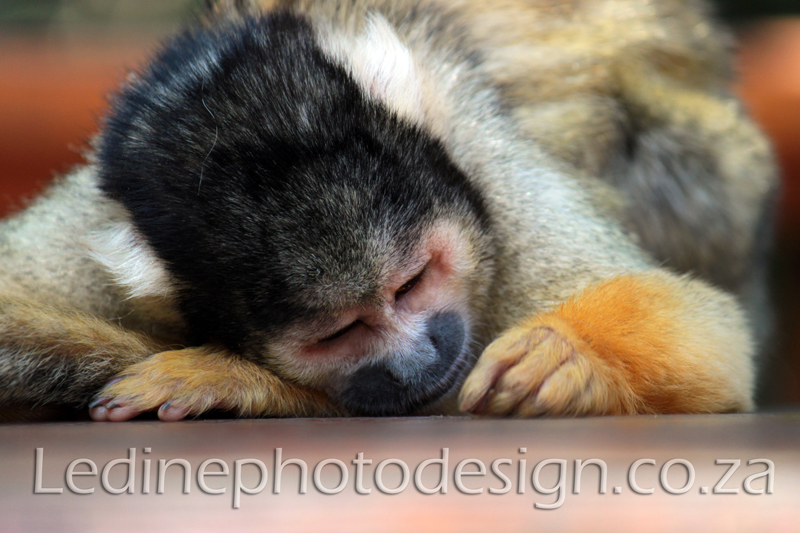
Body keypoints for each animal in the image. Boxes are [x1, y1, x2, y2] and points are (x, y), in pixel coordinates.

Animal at [0, 0, 777, 422]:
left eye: (413, 283)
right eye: (340, 333)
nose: (422, 356)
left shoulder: (490, 165)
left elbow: (706, 332)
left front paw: (570, 356)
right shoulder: (96, 214)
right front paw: (246, 379)